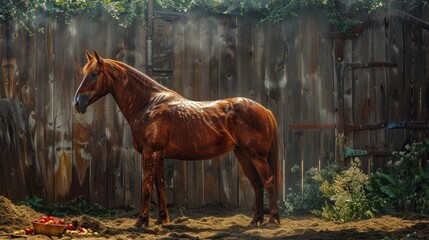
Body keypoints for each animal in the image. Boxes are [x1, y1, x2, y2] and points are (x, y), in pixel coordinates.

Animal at [73, 50, 280, 227]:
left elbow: (146, 188)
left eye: (94, 74)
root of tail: (266, 110)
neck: (148, 105)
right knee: (257, 184)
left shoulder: (150, 154)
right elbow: (160, 187)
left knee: (269, 181)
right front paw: (161, 220)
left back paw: (272, 220)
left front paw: (141, 222)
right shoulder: (158, 157)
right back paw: (255, 220)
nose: (77, 103)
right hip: (243, 155)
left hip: (256, 156)